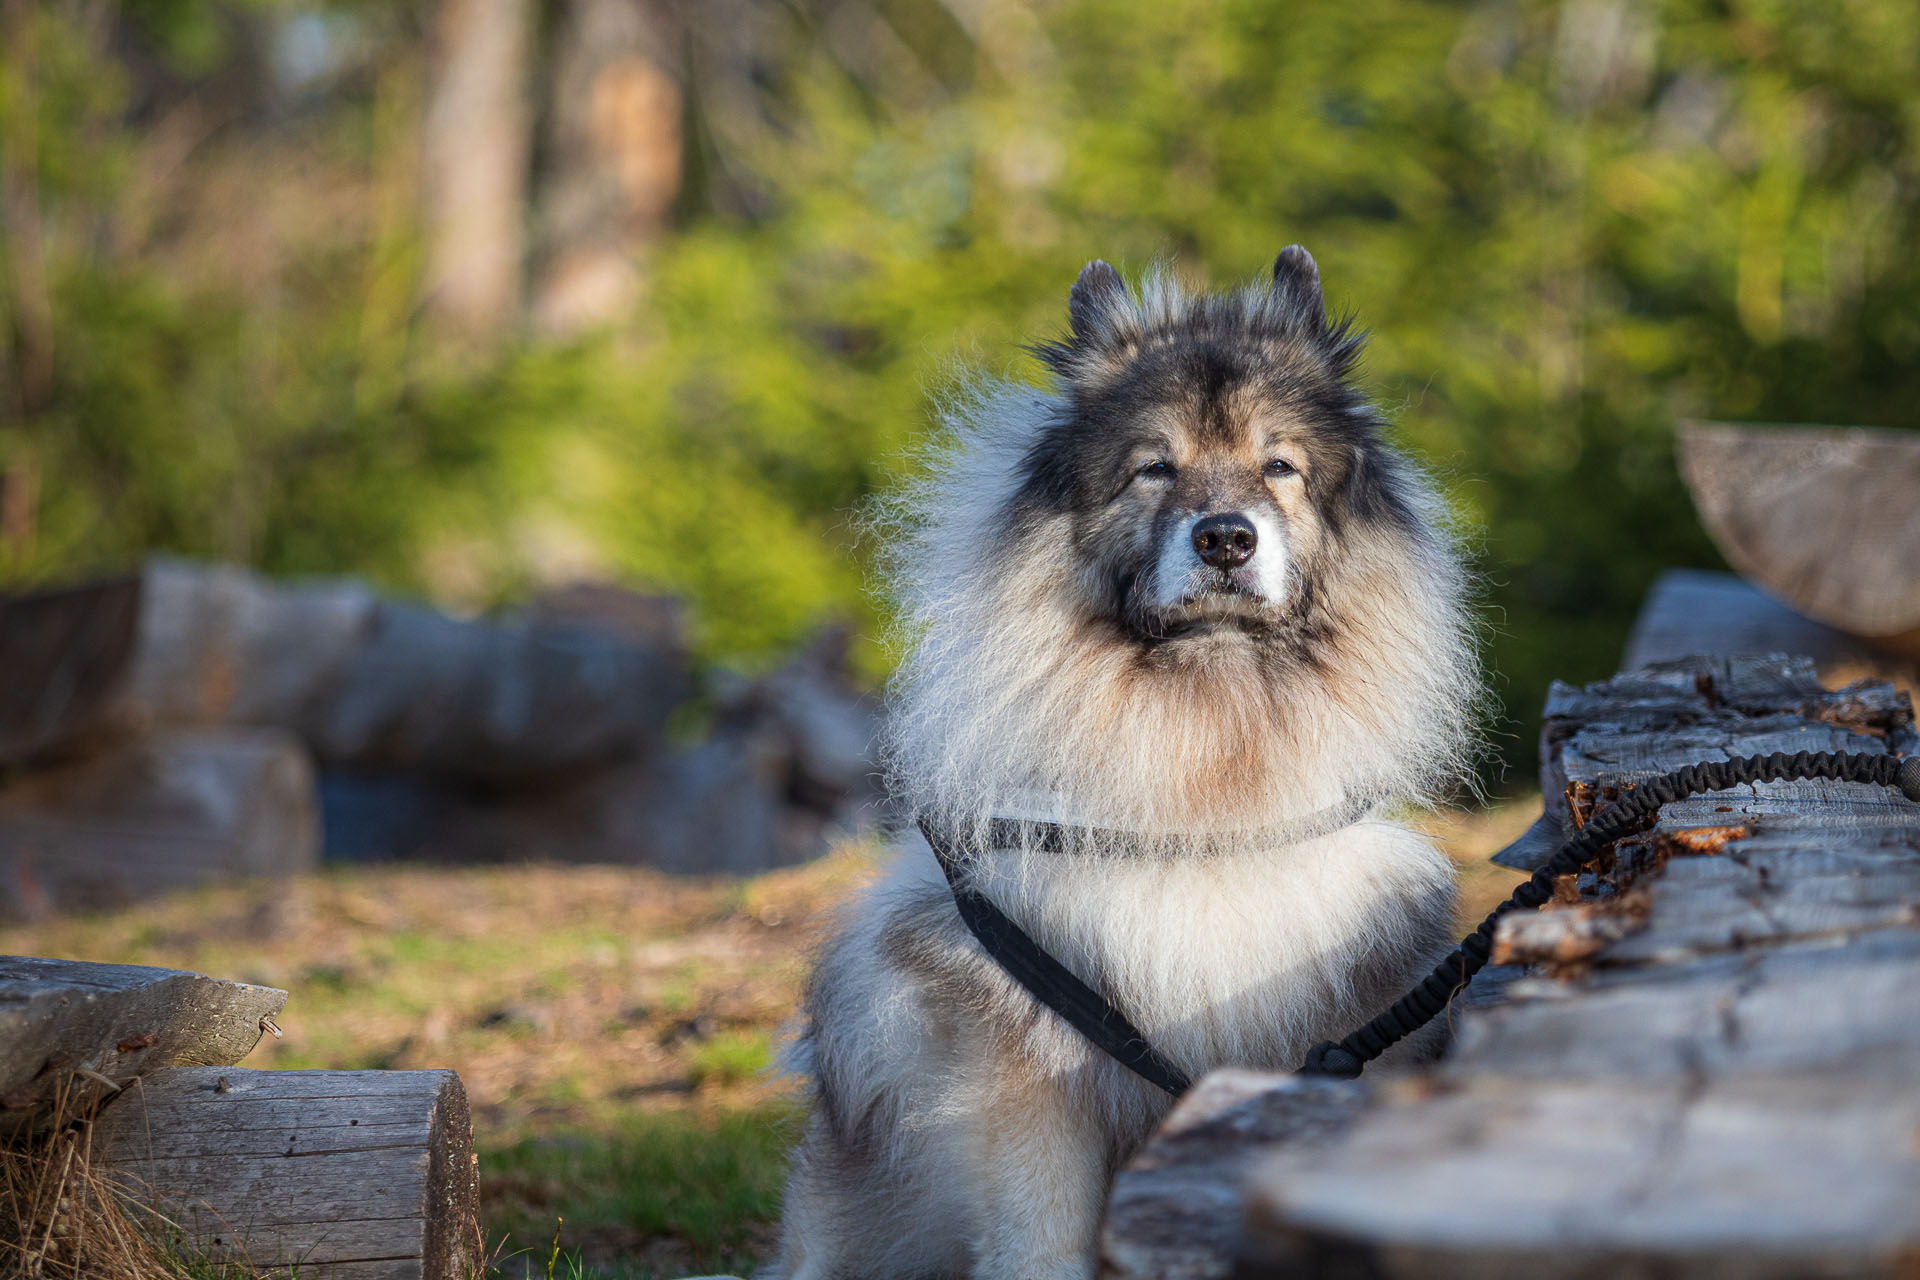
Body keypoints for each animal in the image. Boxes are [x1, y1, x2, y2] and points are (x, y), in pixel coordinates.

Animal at [756, 249, 1474, 1280]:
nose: (1226, 538)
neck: (1203, 793)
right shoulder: (1027, 1053)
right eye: (1153, 468)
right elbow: (1040, 1233)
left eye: (1279, 466)